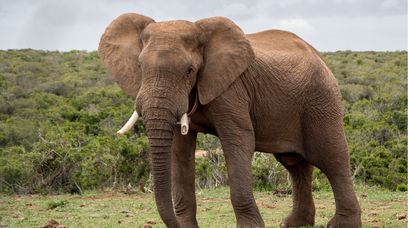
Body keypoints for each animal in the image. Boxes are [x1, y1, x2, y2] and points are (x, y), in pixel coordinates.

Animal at [99, 12, 360, 228]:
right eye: (140, 66)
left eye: (190, 71)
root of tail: (319, 55)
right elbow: (179, 149)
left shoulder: (232, 89)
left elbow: (238, 141)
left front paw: (251, 227)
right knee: (295, 163)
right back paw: (294, 223)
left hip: (321, 100)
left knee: (332, 157)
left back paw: (341, 224)